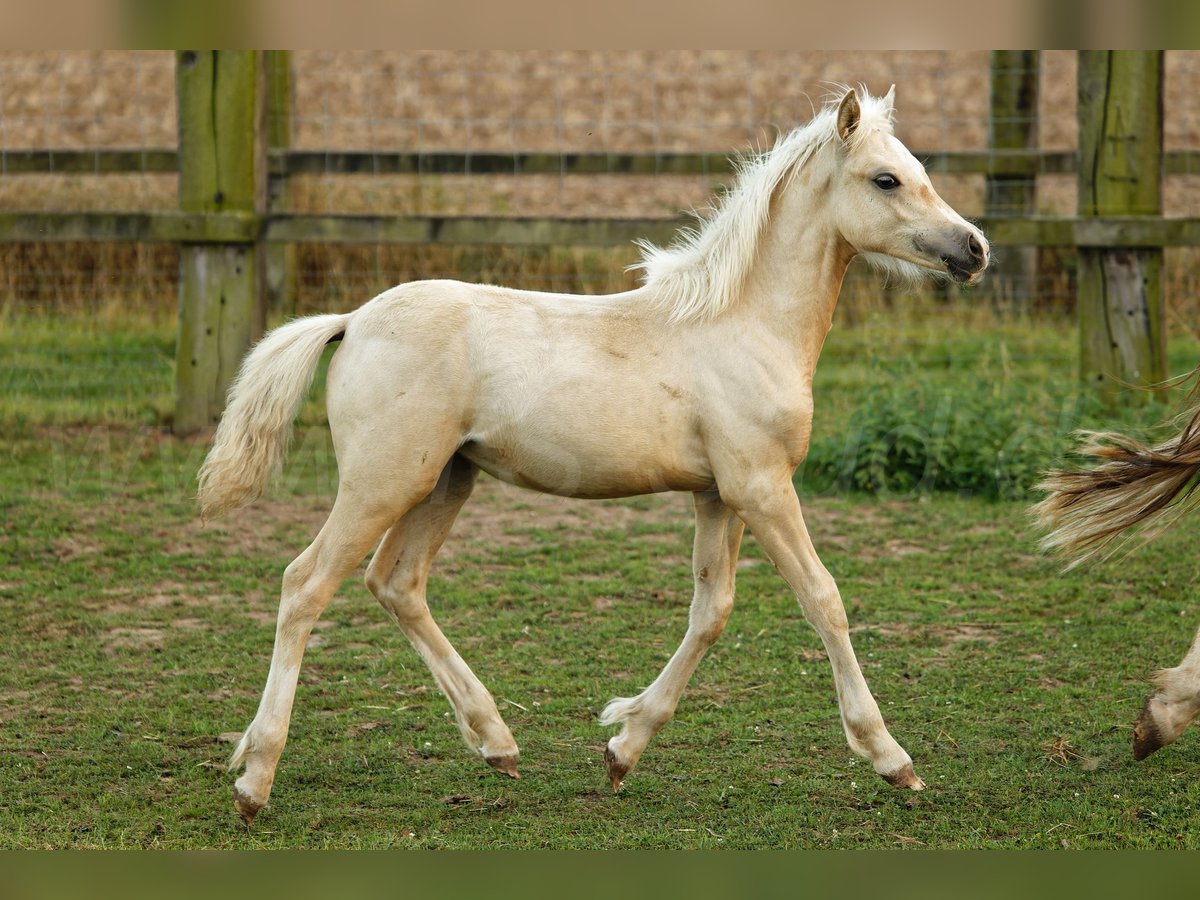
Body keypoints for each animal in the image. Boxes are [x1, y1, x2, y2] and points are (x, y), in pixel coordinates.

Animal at [199, 88, 984, 830]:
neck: (742, 324)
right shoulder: (761, 488)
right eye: (886, 178)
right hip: (381, 482)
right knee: (305, 585)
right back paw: (254, 781)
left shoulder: (717, 495)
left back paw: (497, 743)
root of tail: (352, 320)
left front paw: (622, 748)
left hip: (445, 479)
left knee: (396, 582)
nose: (973, 249)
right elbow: (824, 599)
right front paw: (892, 759)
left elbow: (712, 611)